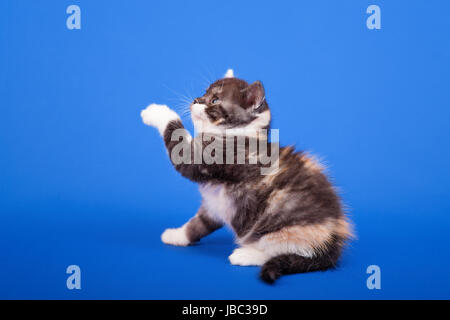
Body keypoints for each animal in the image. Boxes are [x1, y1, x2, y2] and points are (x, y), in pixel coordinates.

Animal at [140, 69, 352, 282]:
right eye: (204, 92)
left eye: (215, 100)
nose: (195, 100)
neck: (237, 133)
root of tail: (333, 244)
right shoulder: (215, 205)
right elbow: (199, 224)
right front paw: (176, 235)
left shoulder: (205, 159)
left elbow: (177, 139)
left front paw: (155, 111)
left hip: (285, 227)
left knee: (283, 249)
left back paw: (246, 254)